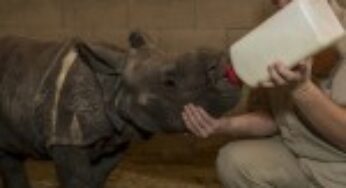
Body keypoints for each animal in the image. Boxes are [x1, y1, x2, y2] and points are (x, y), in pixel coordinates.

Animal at [0, 33, 241, 187]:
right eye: (169, 82)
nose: (223, 67)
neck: (113, 85)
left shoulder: (115, 140)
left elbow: (96, 179)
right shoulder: (65, 138)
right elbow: (78, 180)